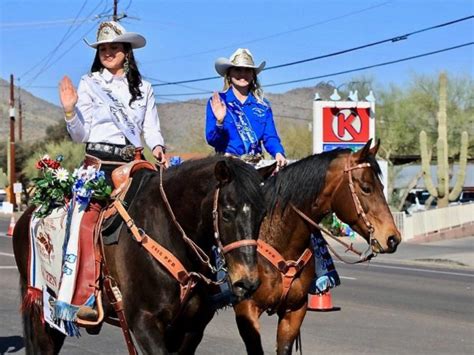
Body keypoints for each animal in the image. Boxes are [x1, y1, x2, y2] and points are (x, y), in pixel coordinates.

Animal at [12, 158, 268, 355]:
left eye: (263, 214)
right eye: (227, 213)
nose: (247, 282)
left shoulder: (190, 328)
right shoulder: (144, 323)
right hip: (44, 313)